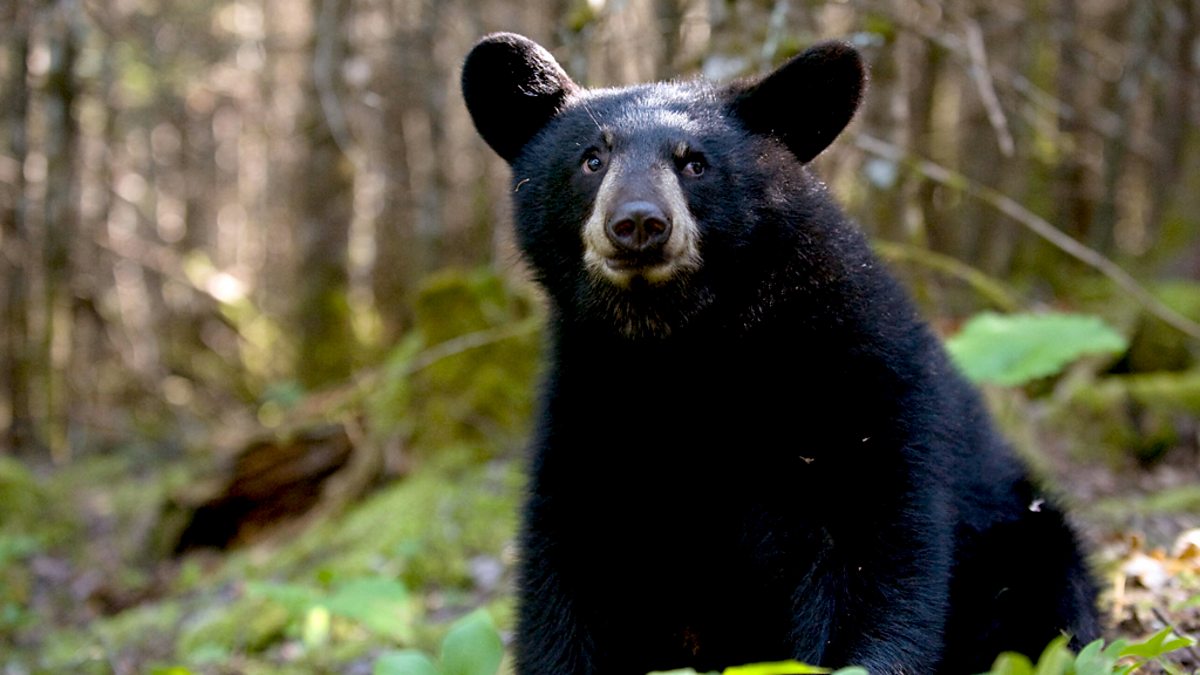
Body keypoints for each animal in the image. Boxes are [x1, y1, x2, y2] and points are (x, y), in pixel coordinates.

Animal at [460, 33, 1100, 675]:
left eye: (695, 163)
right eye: (592, 159)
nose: (638, 222)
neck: (683, 346)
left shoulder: (858, 381)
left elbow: (874, 555)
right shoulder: (591, 404)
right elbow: (572, 573)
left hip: (1027, 541)